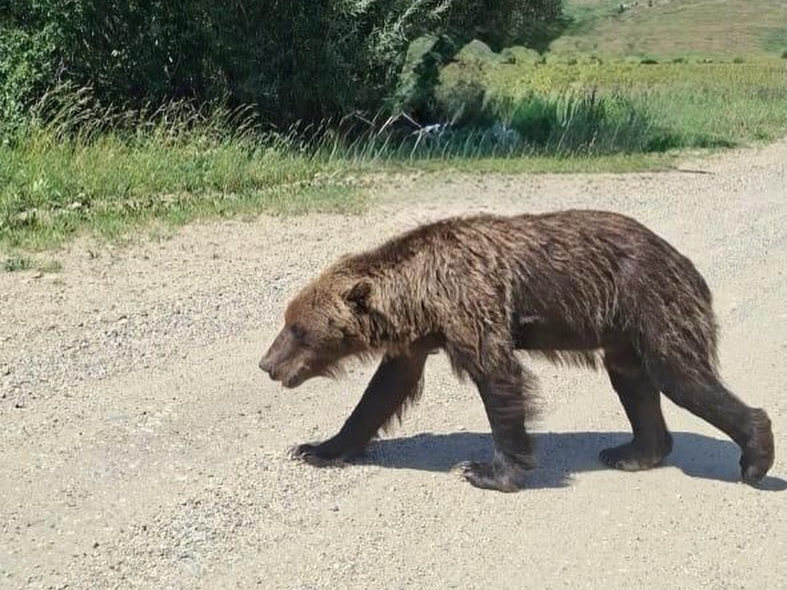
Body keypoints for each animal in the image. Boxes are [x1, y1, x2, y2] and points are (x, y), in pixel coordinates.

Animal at [259, 209, 775, 492]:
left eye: (299, 329)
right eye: (287, 321)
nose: (267, 364)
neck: (421, 297)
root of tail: (686, 262)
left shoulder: (471, 305)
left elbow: (499, 380)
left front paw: (488, 470)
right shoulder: (416, 341)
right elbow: (381, 393)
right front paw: (318, 448)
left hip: (651, 303)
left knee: (681, 375)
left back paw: (755, 456)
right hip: (622, 332)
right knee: (634, 381)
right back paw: (631, 452)